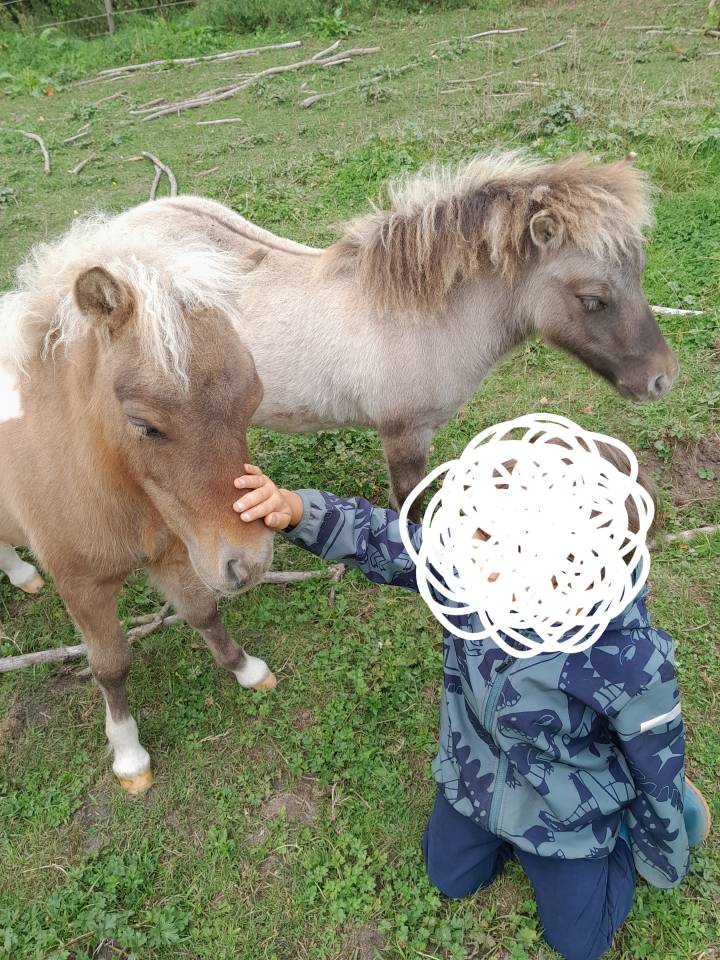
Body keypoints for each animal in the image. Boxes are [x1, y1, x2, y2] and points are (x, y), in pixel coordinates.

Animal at [0, 218, 276, 794]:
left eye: (254, 397)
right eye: (144, 424)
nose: (251, 563)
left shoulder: (175, 551)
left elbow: (202, 611)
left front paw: (247, 669)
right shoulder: (83, 587)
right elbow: (110, 664)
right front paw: (129, 757)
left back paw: (21, 575)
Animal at [115, 150, 678, 517]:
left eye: (640, 270)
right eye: (593, 299)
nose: (662, 379)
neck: (426, 318)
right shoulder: (404, 433)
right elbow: (408, 499)